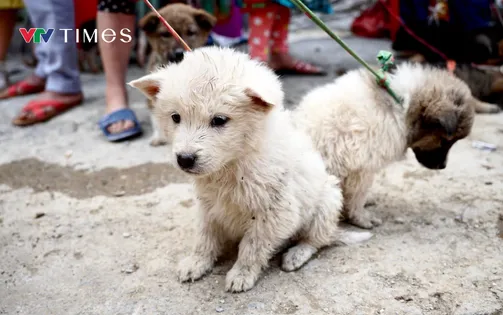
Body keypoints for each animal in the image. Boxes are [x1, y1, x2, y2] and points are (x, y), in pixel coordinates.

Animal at [129, 46, 374, 294]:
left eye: (219, 120)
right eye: (175, 117)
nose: (185, 159)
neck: (233, 163)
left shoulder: (274, 212)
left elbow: (252, 246)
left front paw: (241, 274)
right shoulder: (208, 206)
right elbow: (204, 237)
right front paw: (196, 263)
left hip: (327, 202)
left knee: (317, 239)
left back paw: (296, 254)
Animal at [294, 63, 474, 230]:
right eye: (445, 141)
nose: (443, 166)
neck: (402, 107)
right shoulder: (361, 169)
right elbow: (357, 196)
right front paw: (361, 218)